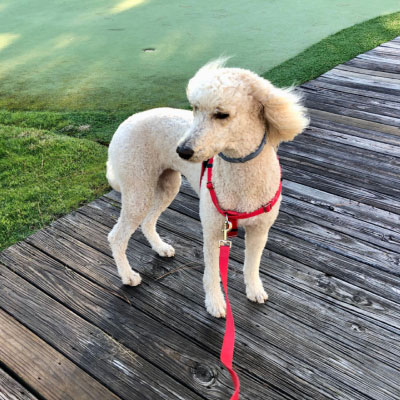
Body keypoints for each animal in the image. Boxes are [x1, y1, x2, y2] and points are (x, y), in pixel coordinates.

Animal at [106, 59, 310, 318]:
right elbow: (212, 273)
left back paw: (161, 248)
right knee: (117, 237)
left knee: (148, 222)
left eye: (222, 114)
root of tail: (123, 125)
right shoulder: (213, 231)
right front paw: (215, 303)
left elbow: (252, 265)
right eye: (194, 108)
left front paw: (254, 290)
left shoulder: (260, 230)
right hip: (138, 188)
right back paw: (128, 276)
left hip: (168, 185)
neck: (242, 176)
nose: (181, 151)